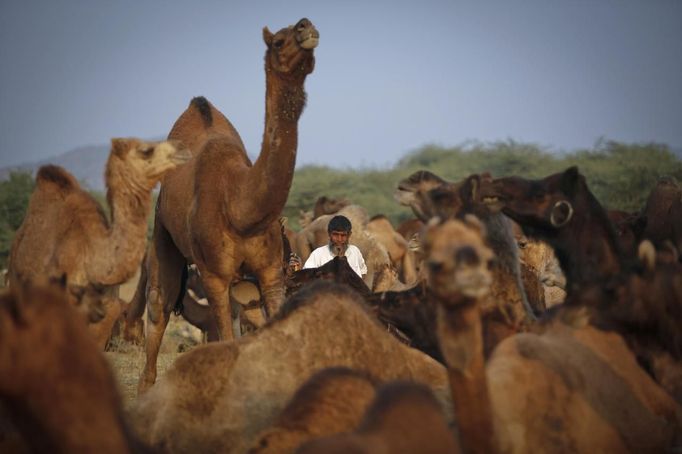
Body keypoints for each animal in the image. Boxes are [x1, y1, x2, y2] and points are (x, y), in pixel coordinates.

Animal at [137, 18, 320, 394]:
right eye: (278, 41)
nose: (305, 26)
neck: (240, 210)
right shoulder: (213, 276)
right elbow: (222, 336)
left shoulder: (271, 271)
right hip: (162, 231)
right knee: (159, 303)